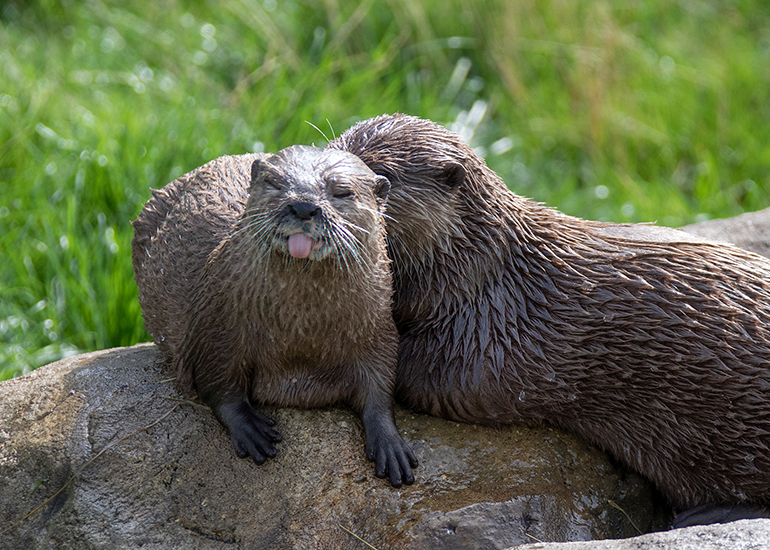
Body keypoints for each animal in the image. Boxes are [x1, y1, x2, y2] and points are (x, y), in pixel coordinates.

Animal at [131, 146, 417, 487]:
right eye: (276, 184)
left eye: (342, 192)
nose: (304, 206)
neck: (301, 332)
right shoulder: (218, 322)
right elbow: (217, 381)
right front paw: (249, 428)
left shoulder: (377, 326)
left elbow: (381, 386)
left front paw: (390, 443)